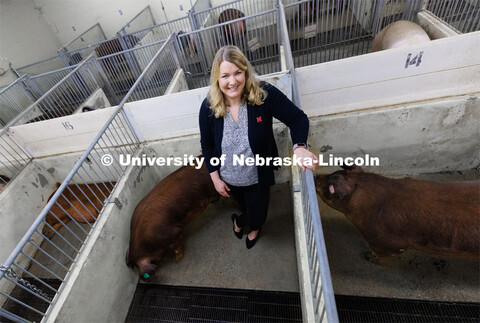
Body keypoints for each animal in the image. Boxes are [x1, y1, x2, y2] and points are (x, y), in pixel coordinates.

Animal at [316, 167, 480, 260]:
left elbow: (385, 252)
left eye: (329, 190)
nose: (316, 176)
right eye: (336, 172)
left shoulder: (389, 243)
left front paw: (368, 256)